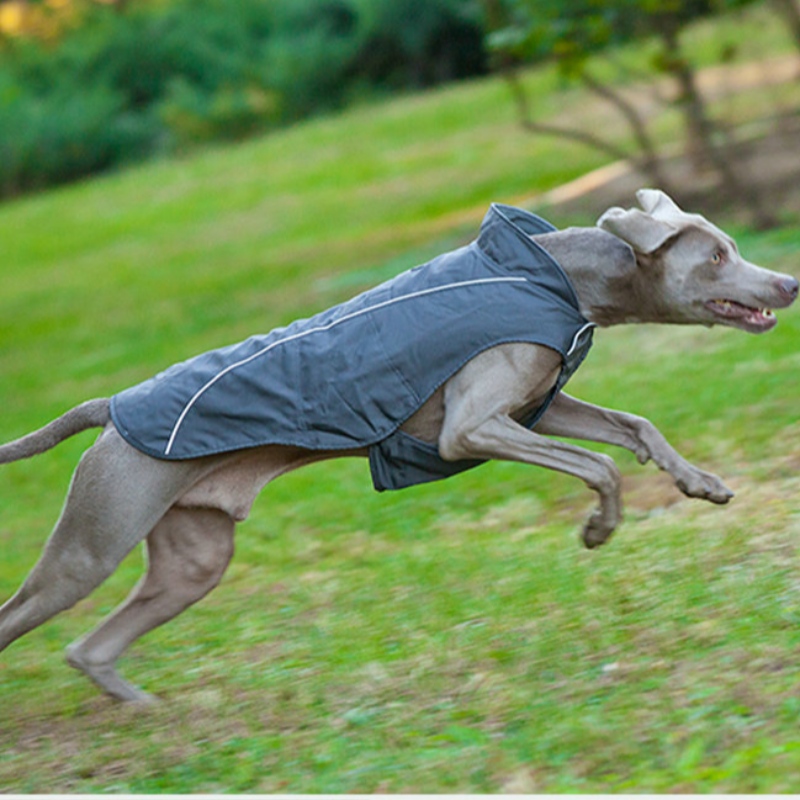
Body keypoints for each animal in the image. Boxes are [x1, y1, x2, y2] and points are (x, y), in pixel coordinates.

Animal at [1, 189, 800, 700]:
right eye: (718, 255)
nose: (788, 282)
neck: (560, 278)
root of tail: (110, 408)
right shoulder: (471, 426)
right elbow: (600, 463)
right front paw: (600, 529)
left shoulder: (539, 406)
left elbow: (634, 427)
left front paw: (702, 483)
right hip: (95, 537)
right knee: (26, 612)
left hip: (192, 557)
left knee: (89, 646)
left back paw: (142, 706)